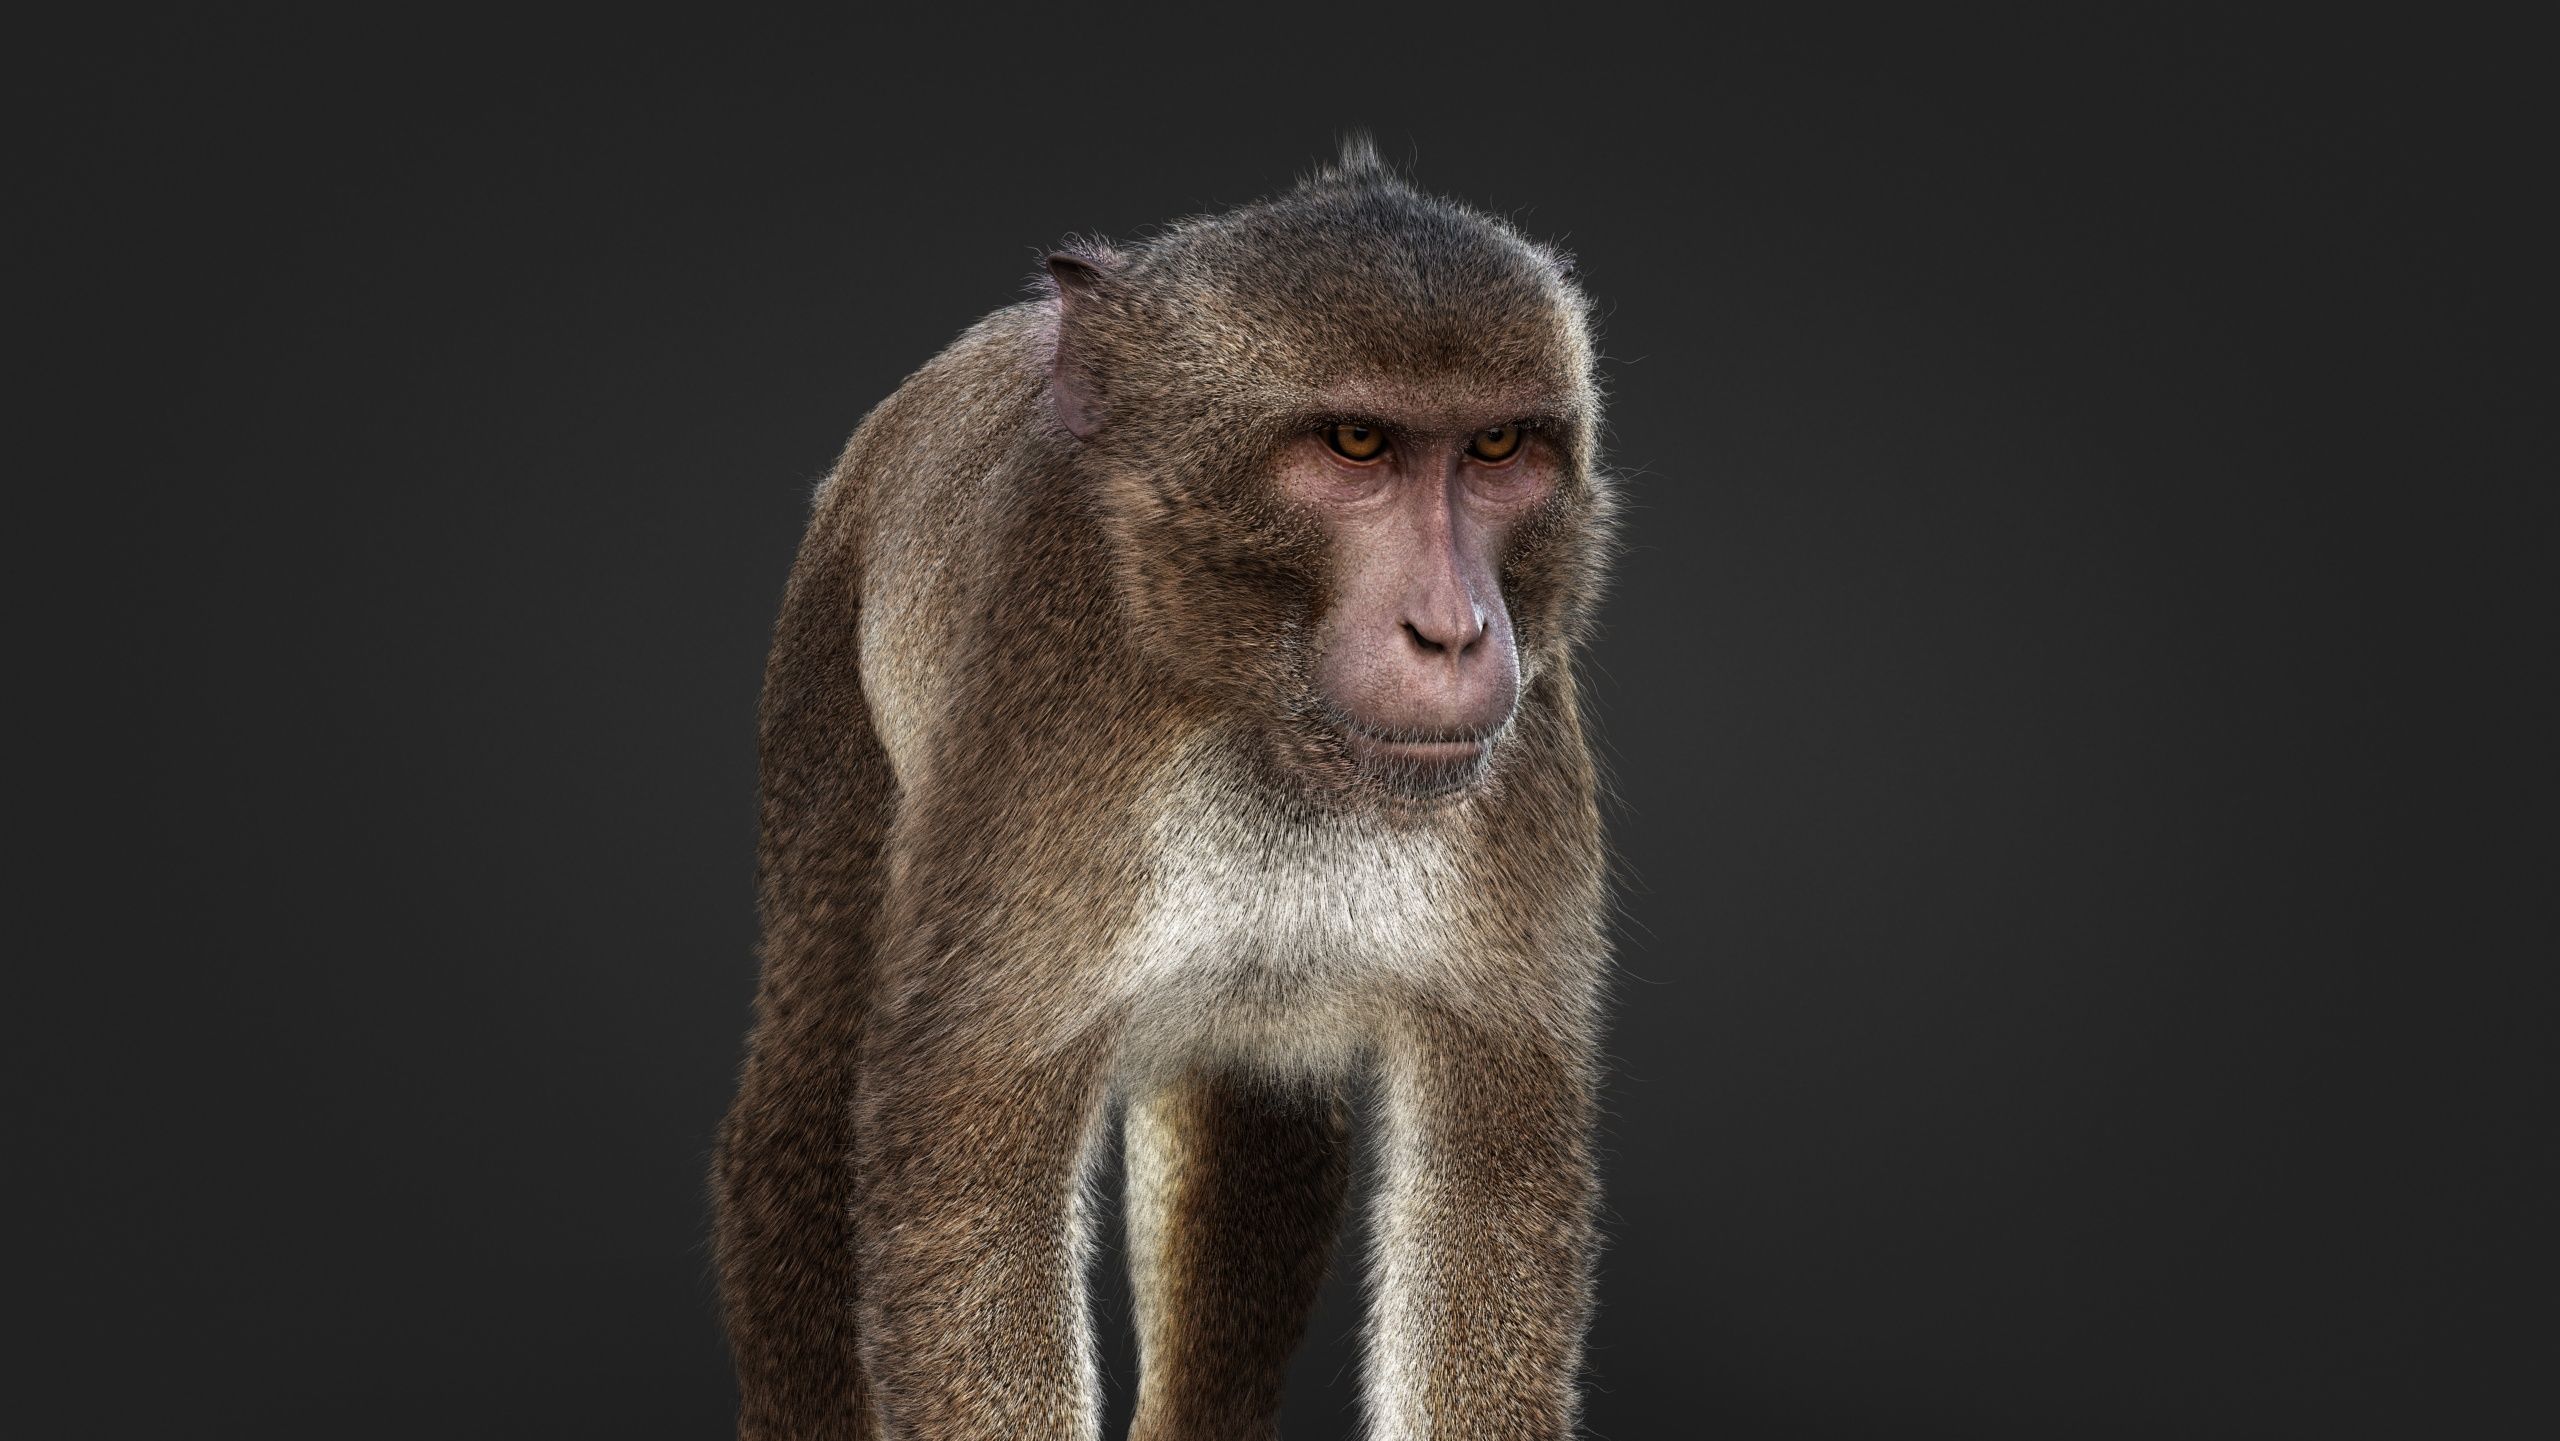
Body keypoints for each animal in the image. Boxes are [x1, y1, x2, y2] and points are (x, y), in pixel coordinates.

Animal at [711, 137, 1616, 1441]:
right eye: (1354, 444)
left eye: (1496, 451)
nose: (1452, 631)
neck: (1261, 718)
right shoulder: (1054, 730)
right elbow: (964, 1172)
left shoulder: (1521, 754)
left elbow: (1486, 1183)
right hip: (826, 657)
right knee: (805, 1107)